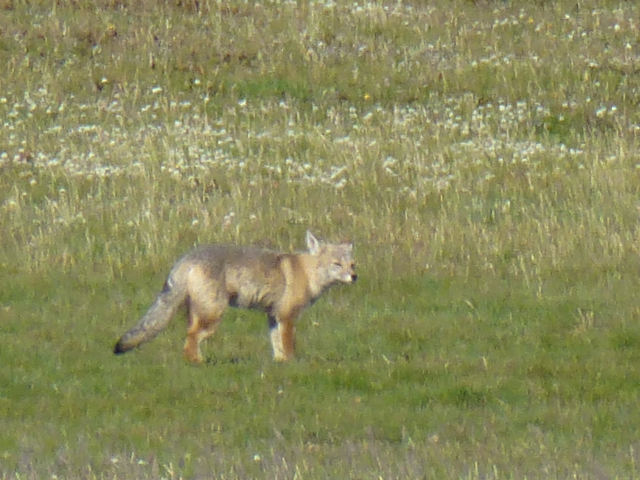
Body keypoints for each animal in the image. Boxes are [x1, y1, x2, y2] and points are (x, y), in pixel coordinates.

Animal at [113, 230, 357, 363]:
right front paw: (291, 363)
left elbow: (276, 343)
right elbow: (288, 344)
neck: (306, 272)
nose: (354, 277)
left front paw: (278, 362)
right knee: (192, 336)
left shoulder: (273, 316)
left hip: (199, 312)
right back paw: (198, 362)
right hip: (213, 315)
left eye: (352, 264)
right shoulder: (287, 316)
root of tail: (187, 257)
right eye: (337, 264)